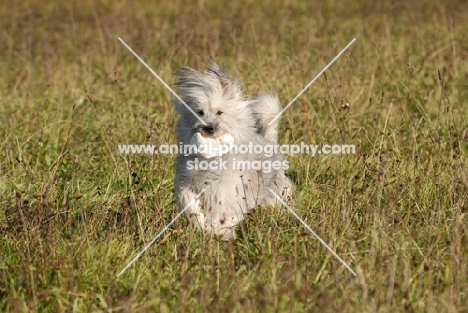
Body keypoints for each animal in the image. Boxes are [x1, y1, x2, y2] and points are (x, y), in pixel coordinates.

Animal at [174, 59, 292, 238]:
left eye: (219, 112)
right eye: (200, 112)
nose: (207, 127)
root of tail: (268, 140)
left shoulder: (226, 190)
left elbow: (222, 213)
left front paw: (217, 232)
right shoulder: (187, 182)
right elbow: (188, 201)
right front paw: (199, 223)